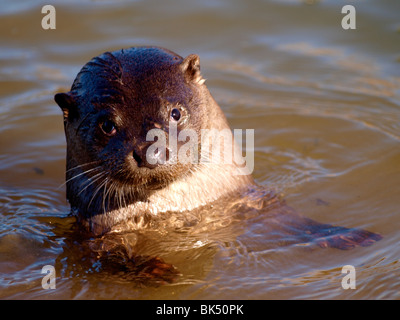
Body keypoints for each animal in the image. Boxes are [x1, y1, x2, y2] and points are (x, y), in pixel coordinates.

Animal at [54, 46, 382, 251]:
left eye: (175, 112)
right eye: (107, 125)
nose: (150, 150)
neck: (180, 206)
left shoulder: (252, 202)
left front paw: (350, 236)